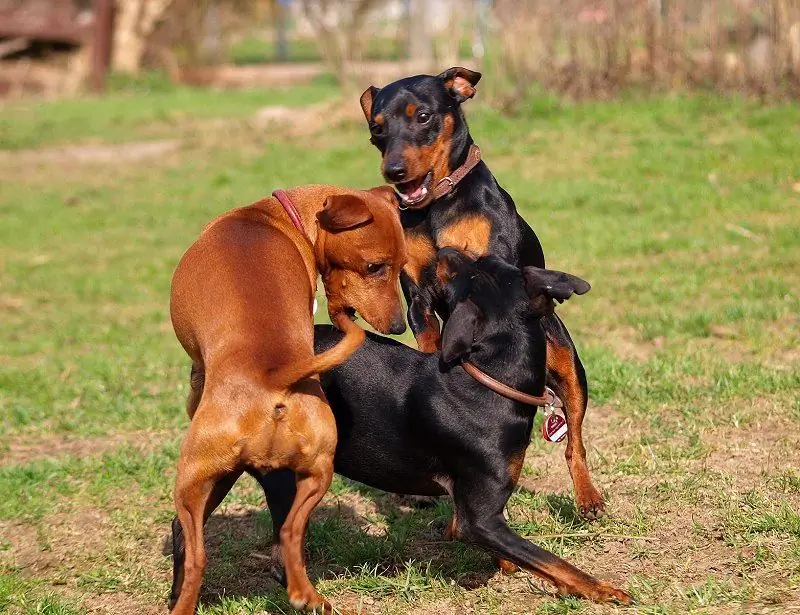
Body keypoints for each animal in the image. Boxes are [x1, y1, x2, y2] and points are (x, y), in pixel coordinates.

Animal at [168, 185, 406, 612]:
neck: (276, 217)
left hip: (190, 478)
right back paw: (306, 595)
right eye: (377, 266)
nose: (399, 326)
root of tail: (274, 376)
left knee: (195, 554)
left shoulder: (197, 369)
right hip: (317, 472)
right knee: (291, 533)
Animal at [256, 249, 632, 608]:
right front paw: (602, 589)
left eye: (484, 263)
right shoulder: (479, 520)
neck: (488, 382)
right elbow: (549, 560)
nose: (444, 251)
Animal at [360, 66, 604, 520]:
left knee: (574, 439)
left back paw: (588, 497)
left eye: (423, 116)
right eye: (376, 129)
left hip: (567, 362)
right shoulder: (419, 302)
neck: (438, 205)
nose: (394, 171)